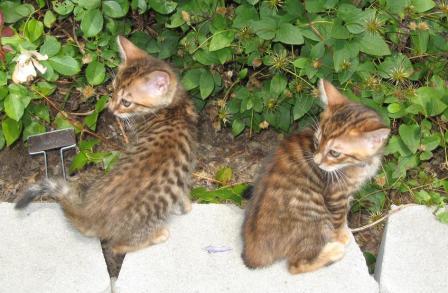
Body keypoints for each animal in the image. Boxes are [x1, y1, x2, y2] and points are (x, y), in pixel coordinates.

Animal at [15, 36, 198, 253]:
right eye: (113, 89)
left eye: (126, 102)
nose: (111, 108)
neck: (172, 108)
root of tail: (89, 214)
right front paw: (185, 207)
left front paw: (185, 206)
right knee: (118, 246)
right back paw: (158, 235)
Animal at [242, 78, 388, 272]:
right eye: (317, 142)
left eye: (334, 153)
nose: (317, 161)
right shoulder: (336, 194)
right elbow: (339, 216)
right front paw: (341, 235)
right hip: (316, 218)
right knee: (295, 265)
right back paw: (334, 251)